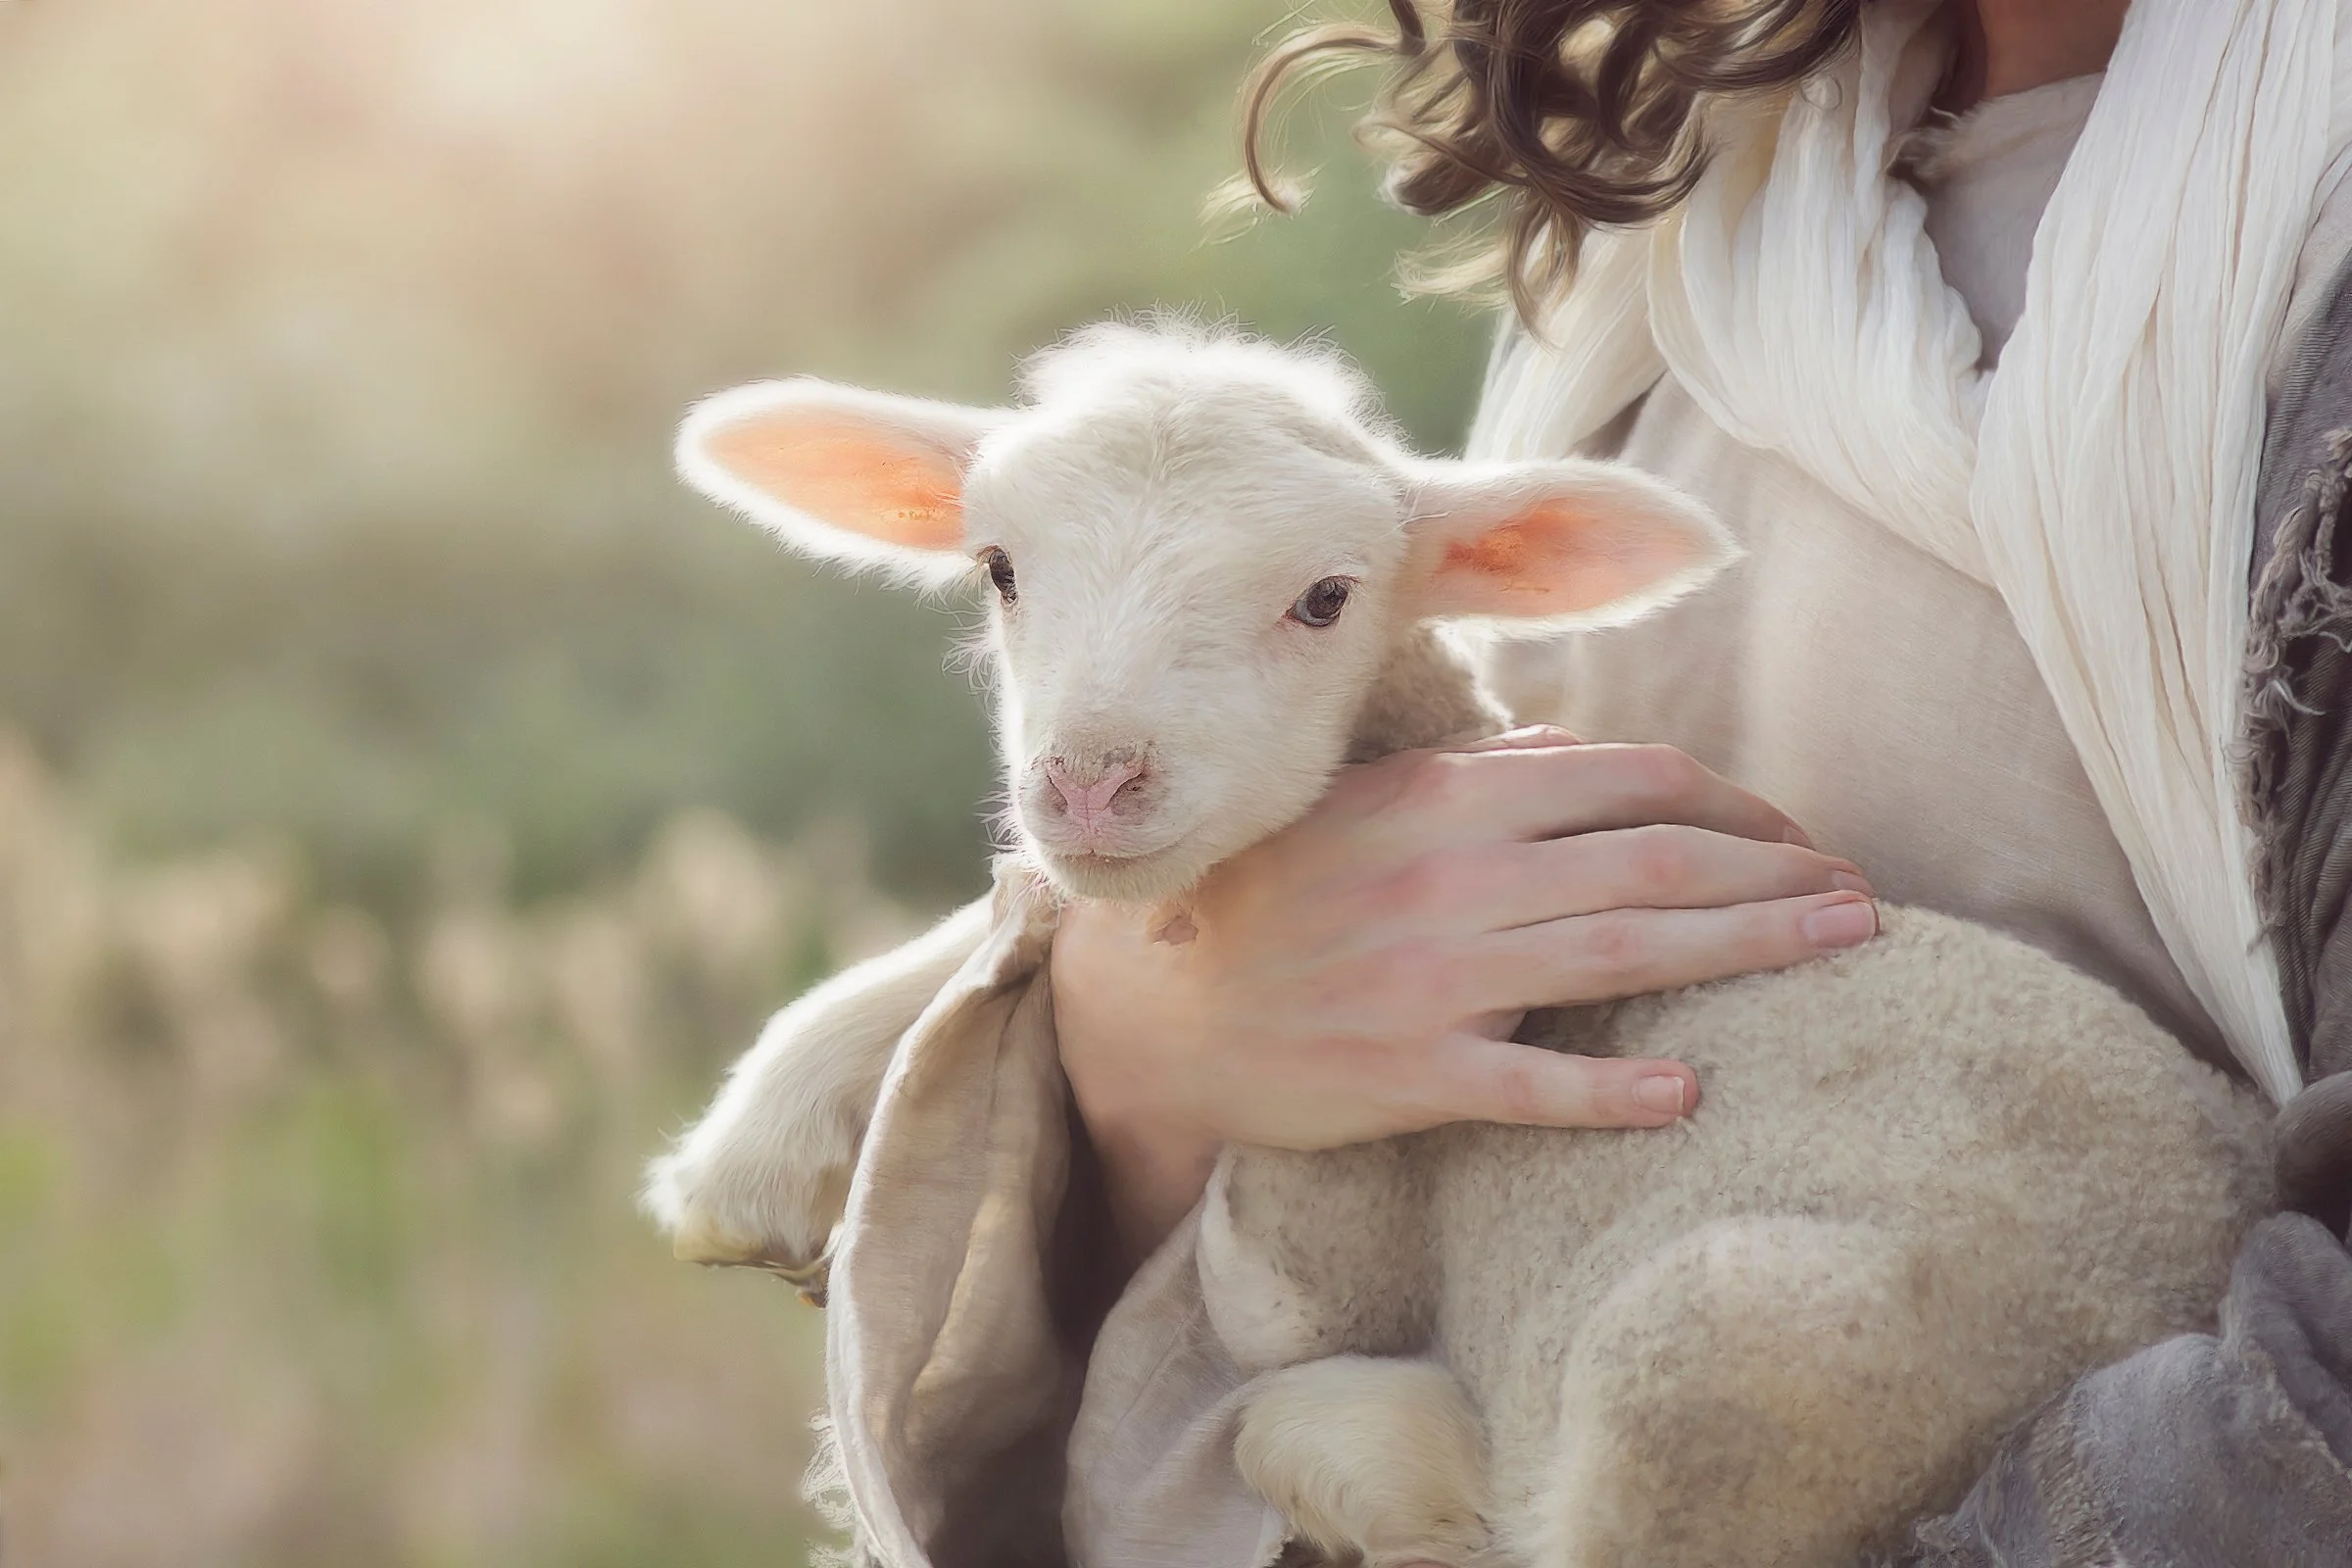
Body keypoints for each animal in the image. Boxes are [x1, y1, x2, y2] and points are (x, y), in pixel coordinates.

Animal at [647, 321, 2272, 1567]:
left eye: (1325, 598)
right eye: (996, 567)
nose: (1092, 783)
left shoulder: (1321, 1229)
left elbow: (1252, 1257)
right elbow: (1031, 913)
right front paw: (761, 1140)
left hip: (1739, 1363)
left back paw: (1367, 1444)